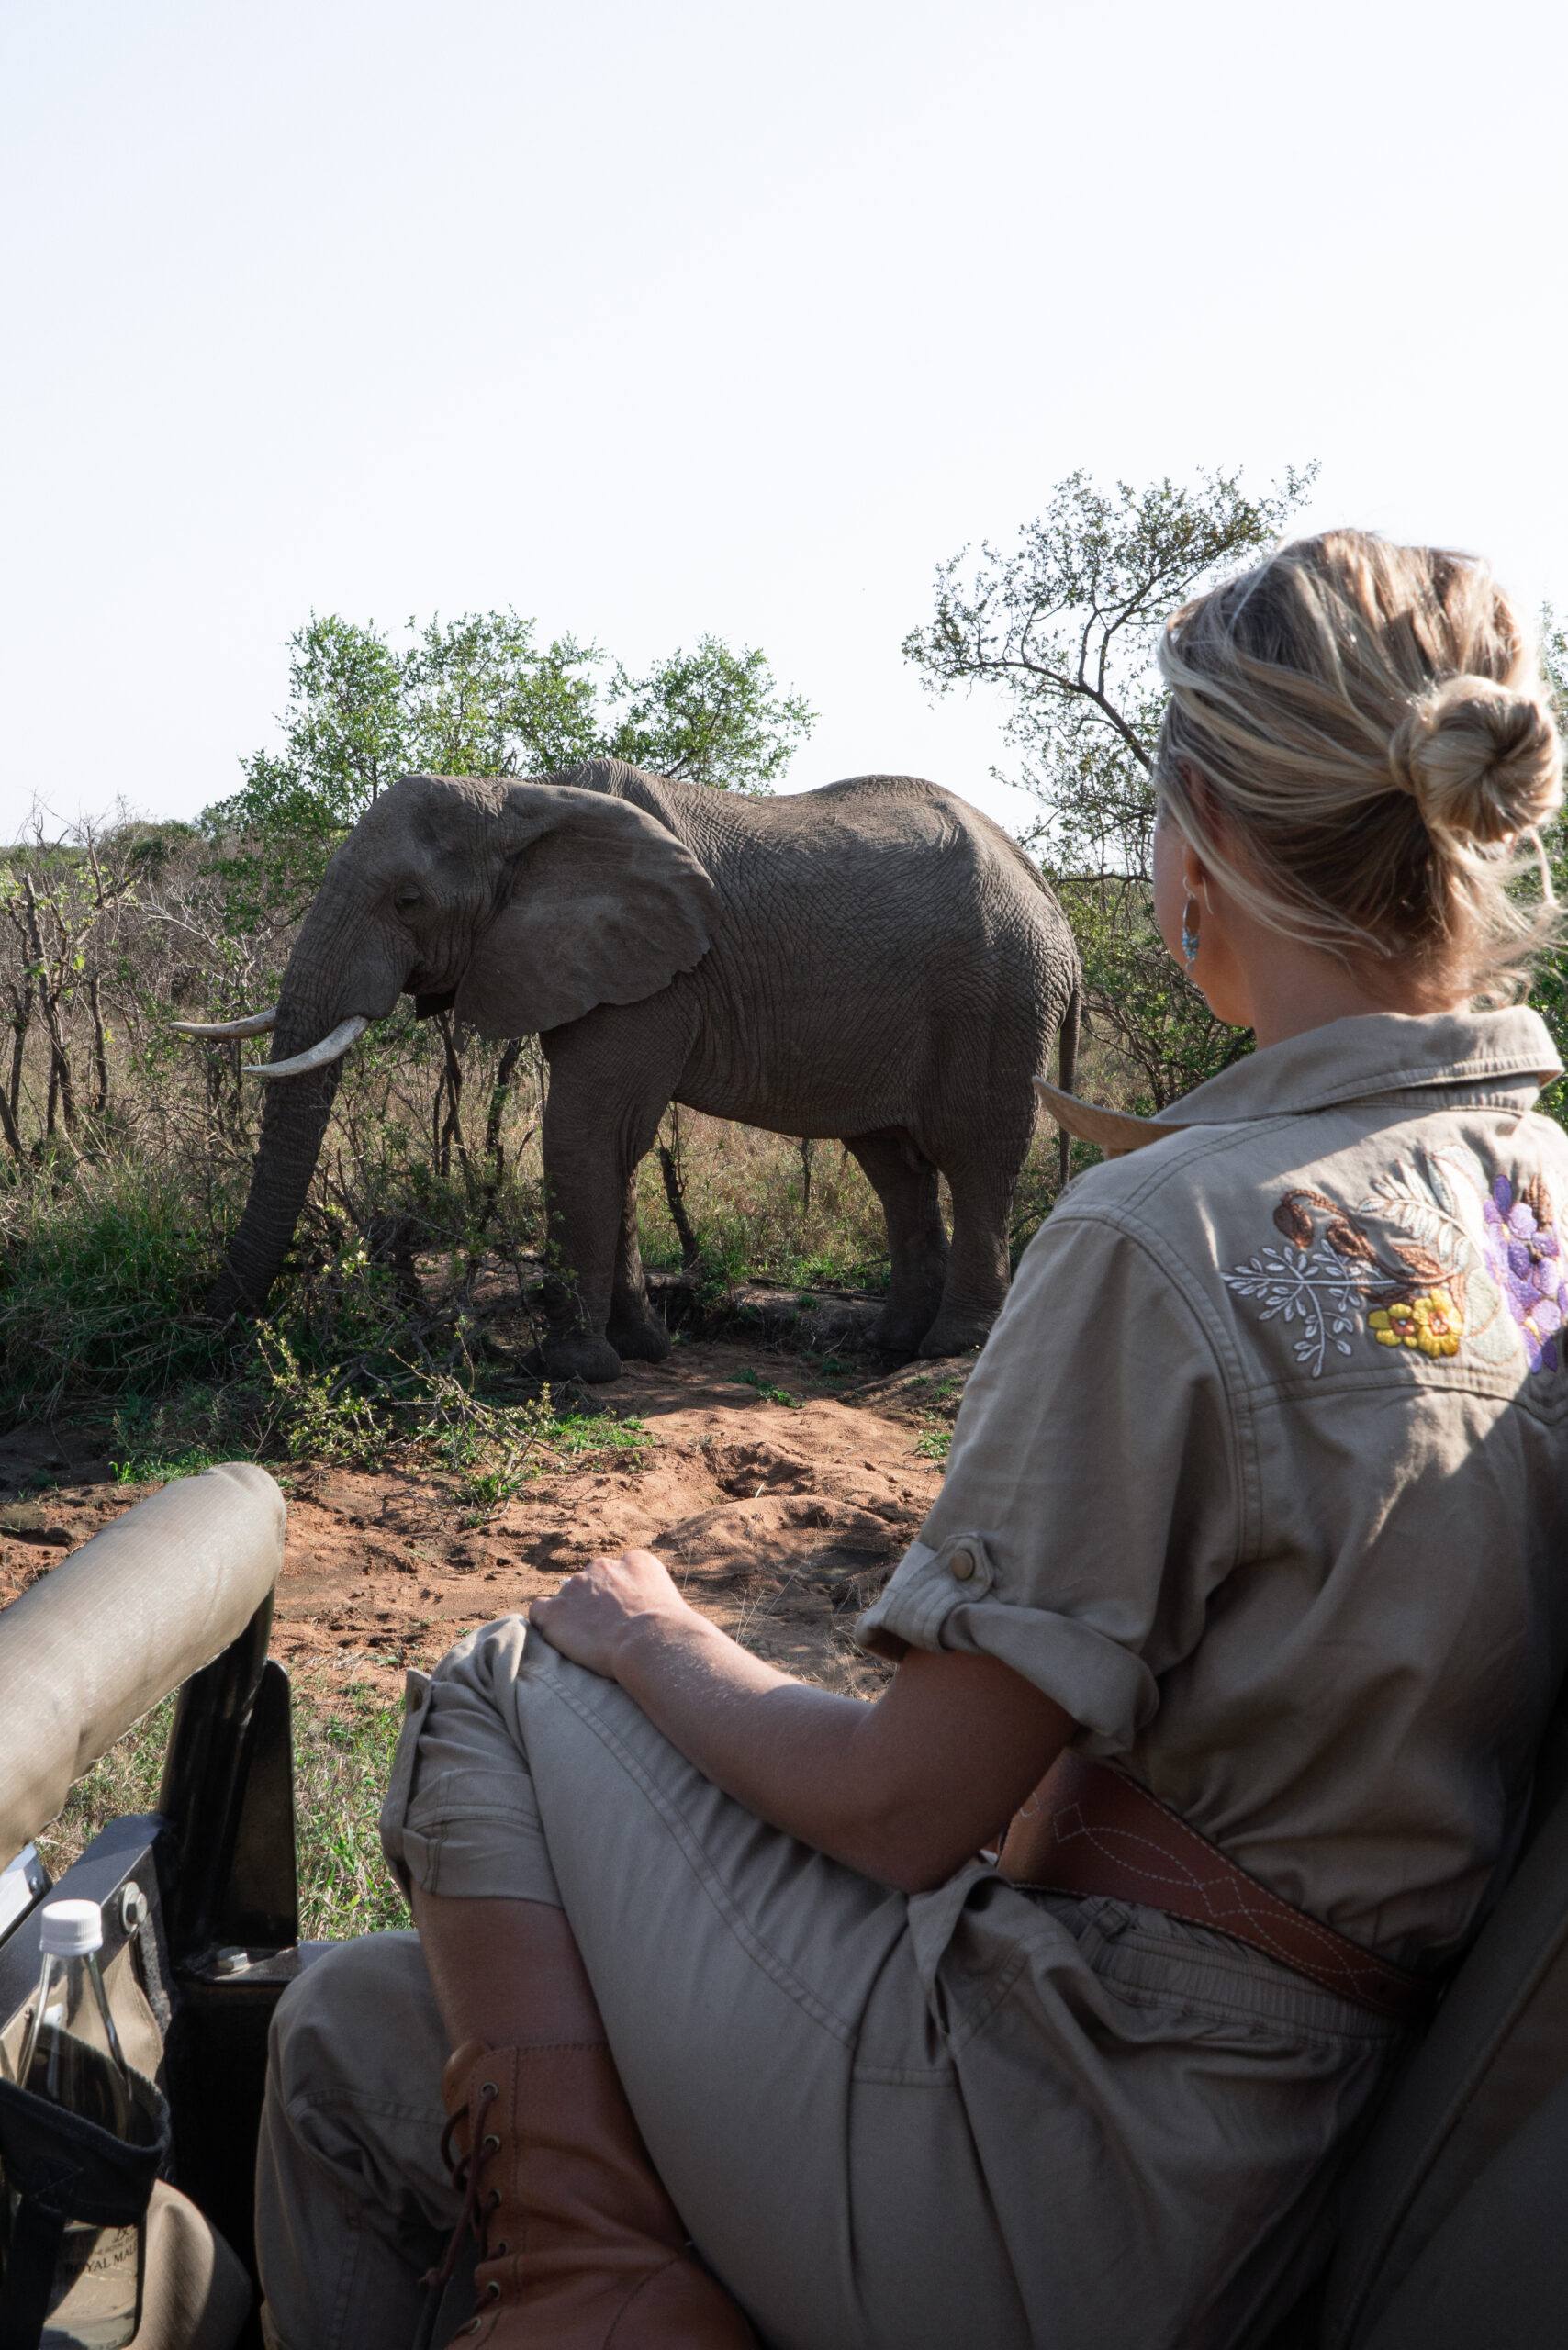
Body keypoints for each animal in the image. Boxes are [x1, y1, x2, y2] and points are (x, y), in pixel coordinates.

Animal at [171, 761, 1081, 1372]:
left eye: (408, 902)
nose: (209, 1328)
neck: (520, 798)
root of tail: (1048, 893)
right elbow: (610, 1143)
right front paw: (641, 1349)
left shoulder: (656, 971)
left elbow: (587, 1128)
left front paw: (572, 1369)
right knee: (893, 1163)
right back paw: (891, 1344)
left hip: (1000, 994)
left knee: (978, 1156)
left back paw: (949, 1346)